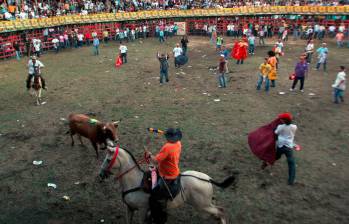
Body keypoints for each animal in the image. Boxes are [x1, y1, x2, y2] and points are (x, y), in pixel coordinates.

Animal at [99, 144, 238, 224]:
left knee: (221, 210)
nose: (100, 174)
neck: (135, 181)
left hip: (202, 205)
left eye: (108, 160)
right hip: (205, 204)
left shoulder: (143, 210)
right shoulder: (129, 208)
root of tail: (208, 179)